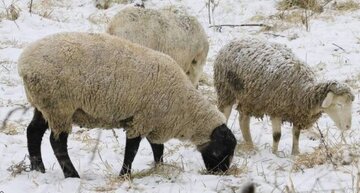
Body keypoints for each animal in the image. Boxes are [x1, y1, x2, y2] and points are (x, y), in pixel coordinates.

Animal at [17, 31, 236, 178]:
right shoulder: (141, 120)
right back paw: (72, 175)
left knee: (33, 132)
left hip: (44, 106)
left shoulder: (152, 122)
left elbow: (158, 148)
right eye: (223, 150)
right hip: (59, 106)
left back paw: (38, 169)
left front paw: (159, 167)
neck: (185, 107)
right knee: (57, 143)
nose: (222, 172)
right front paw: (124, 174)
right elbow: (132, 150)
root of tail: (24, 62)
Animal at [214, 37, 354, 155]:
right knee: (224, 116)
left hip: (249, 97)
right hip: (226, 92)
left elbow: (296, 134)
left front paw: (295, 153)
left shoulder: (297, 113)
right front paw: (275, 154)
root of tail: (233, 41)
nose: (348, 127)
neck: (303, 91)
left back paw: (250, 145)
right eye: (339, 104)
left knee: (243, 119)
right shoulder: (276, 109)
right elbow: (277, 135)